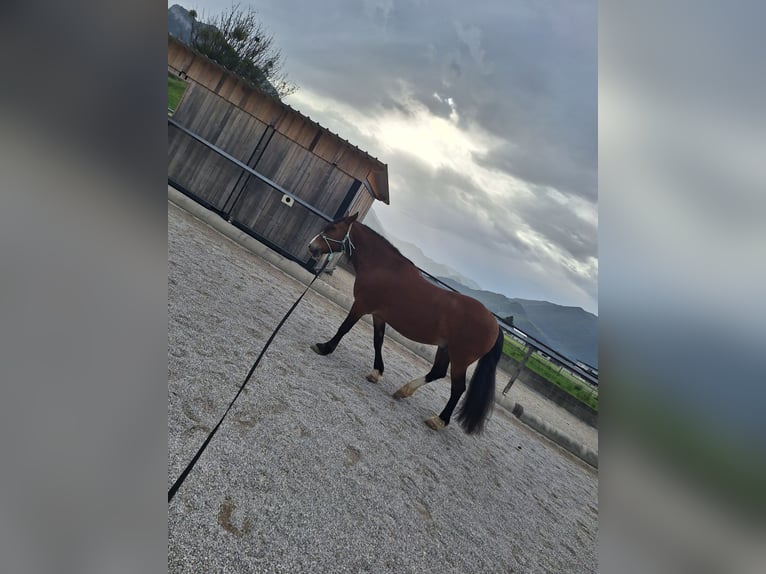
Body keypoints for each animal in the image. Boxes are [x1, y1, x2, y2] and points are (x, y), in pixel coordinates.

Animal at [306, 214, 504, 434]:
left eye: (332, 228)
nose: (312, 247)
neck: (383, 267)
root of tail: (495, 324)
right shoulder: (378, 315)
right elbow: (378, 341)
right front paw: (376, 372)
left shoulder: (361, 306)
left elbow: (344, 328)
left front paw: (324, 347)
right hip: (445, 348)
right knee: (437, 372)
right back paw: (404, 391)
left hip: (460, 358)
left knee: (458, 388)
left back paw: (439, 420)